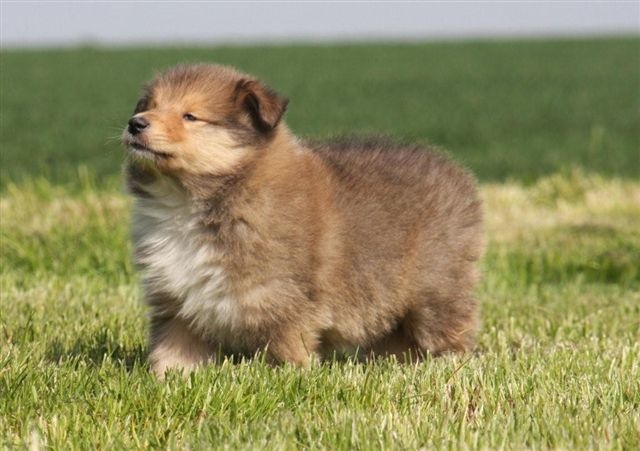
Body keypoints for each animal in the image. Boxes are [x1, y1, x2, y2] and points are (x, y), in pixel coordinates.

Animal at [122, 64, 483, 378]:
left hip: (435, 292)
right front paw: (168, 379)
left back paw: (452, 367)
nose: (135, 123)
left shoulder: (283, 300)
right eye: (150, 106)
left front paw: (288, 378)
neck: (185, 200)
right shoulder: (176, 300)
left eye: (190, 116)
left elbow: (286, 347)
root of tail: (455, 171)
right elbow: (173, 348)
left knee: (451, 331)